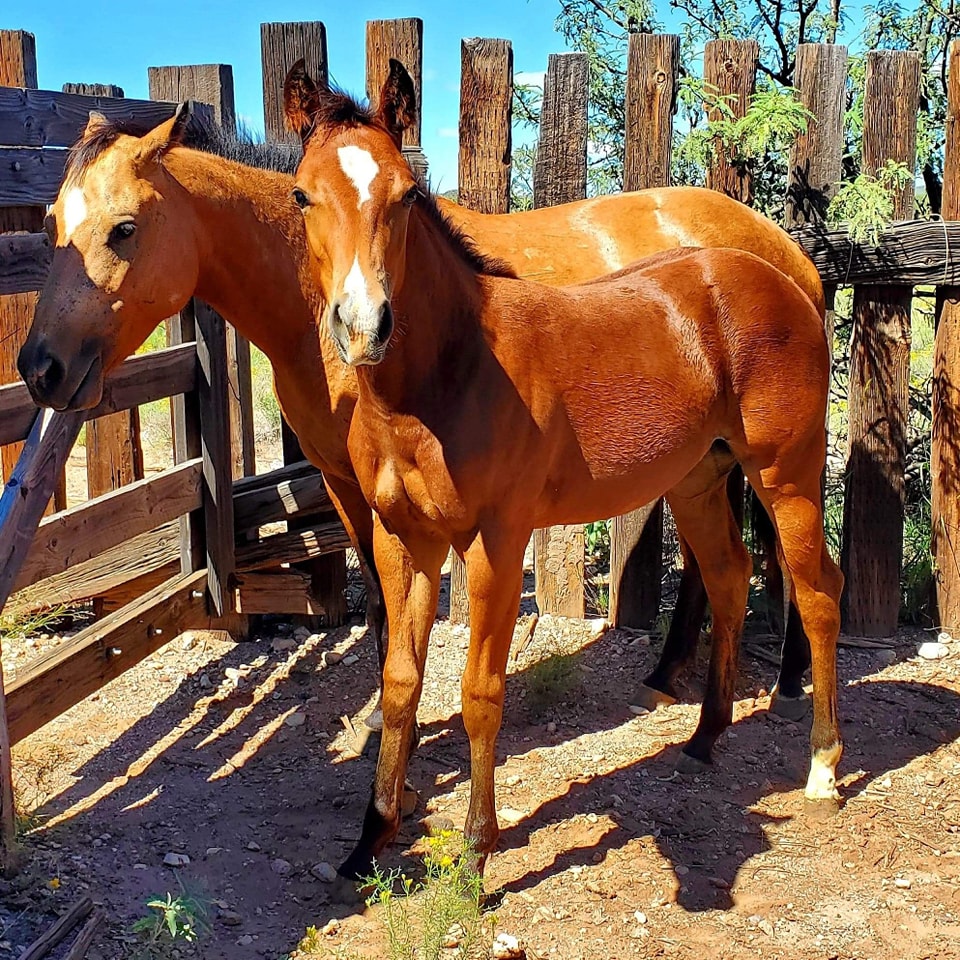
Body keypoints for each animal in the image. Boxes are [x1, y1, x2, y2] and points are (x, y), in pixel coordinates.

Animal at [17, 108, 822, 721]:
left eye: (123, 228)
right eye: (54, 224)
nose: (39, 367)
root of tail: (786, 252)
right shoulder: (348, 482)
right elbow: (381, 595)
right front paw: (384, 709)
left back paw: (785, 683)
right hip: (705, 454)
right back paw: (671, 677)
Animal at [284, 59, 843, 883]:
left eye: (408, 193)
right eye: (302, 193)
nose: (363, 327)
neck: (449, 377)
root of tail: (790, 276)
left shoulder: (495, 541)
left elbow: (481, 692)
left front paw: (478, 849)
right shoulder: (401, 540)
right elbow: (399, 684)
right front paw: (370, 838)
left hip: (788, 475)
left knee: (816, 591)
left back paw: (825, 767)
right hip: (700, 480)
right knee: (730, 575)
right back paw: (705, 737)